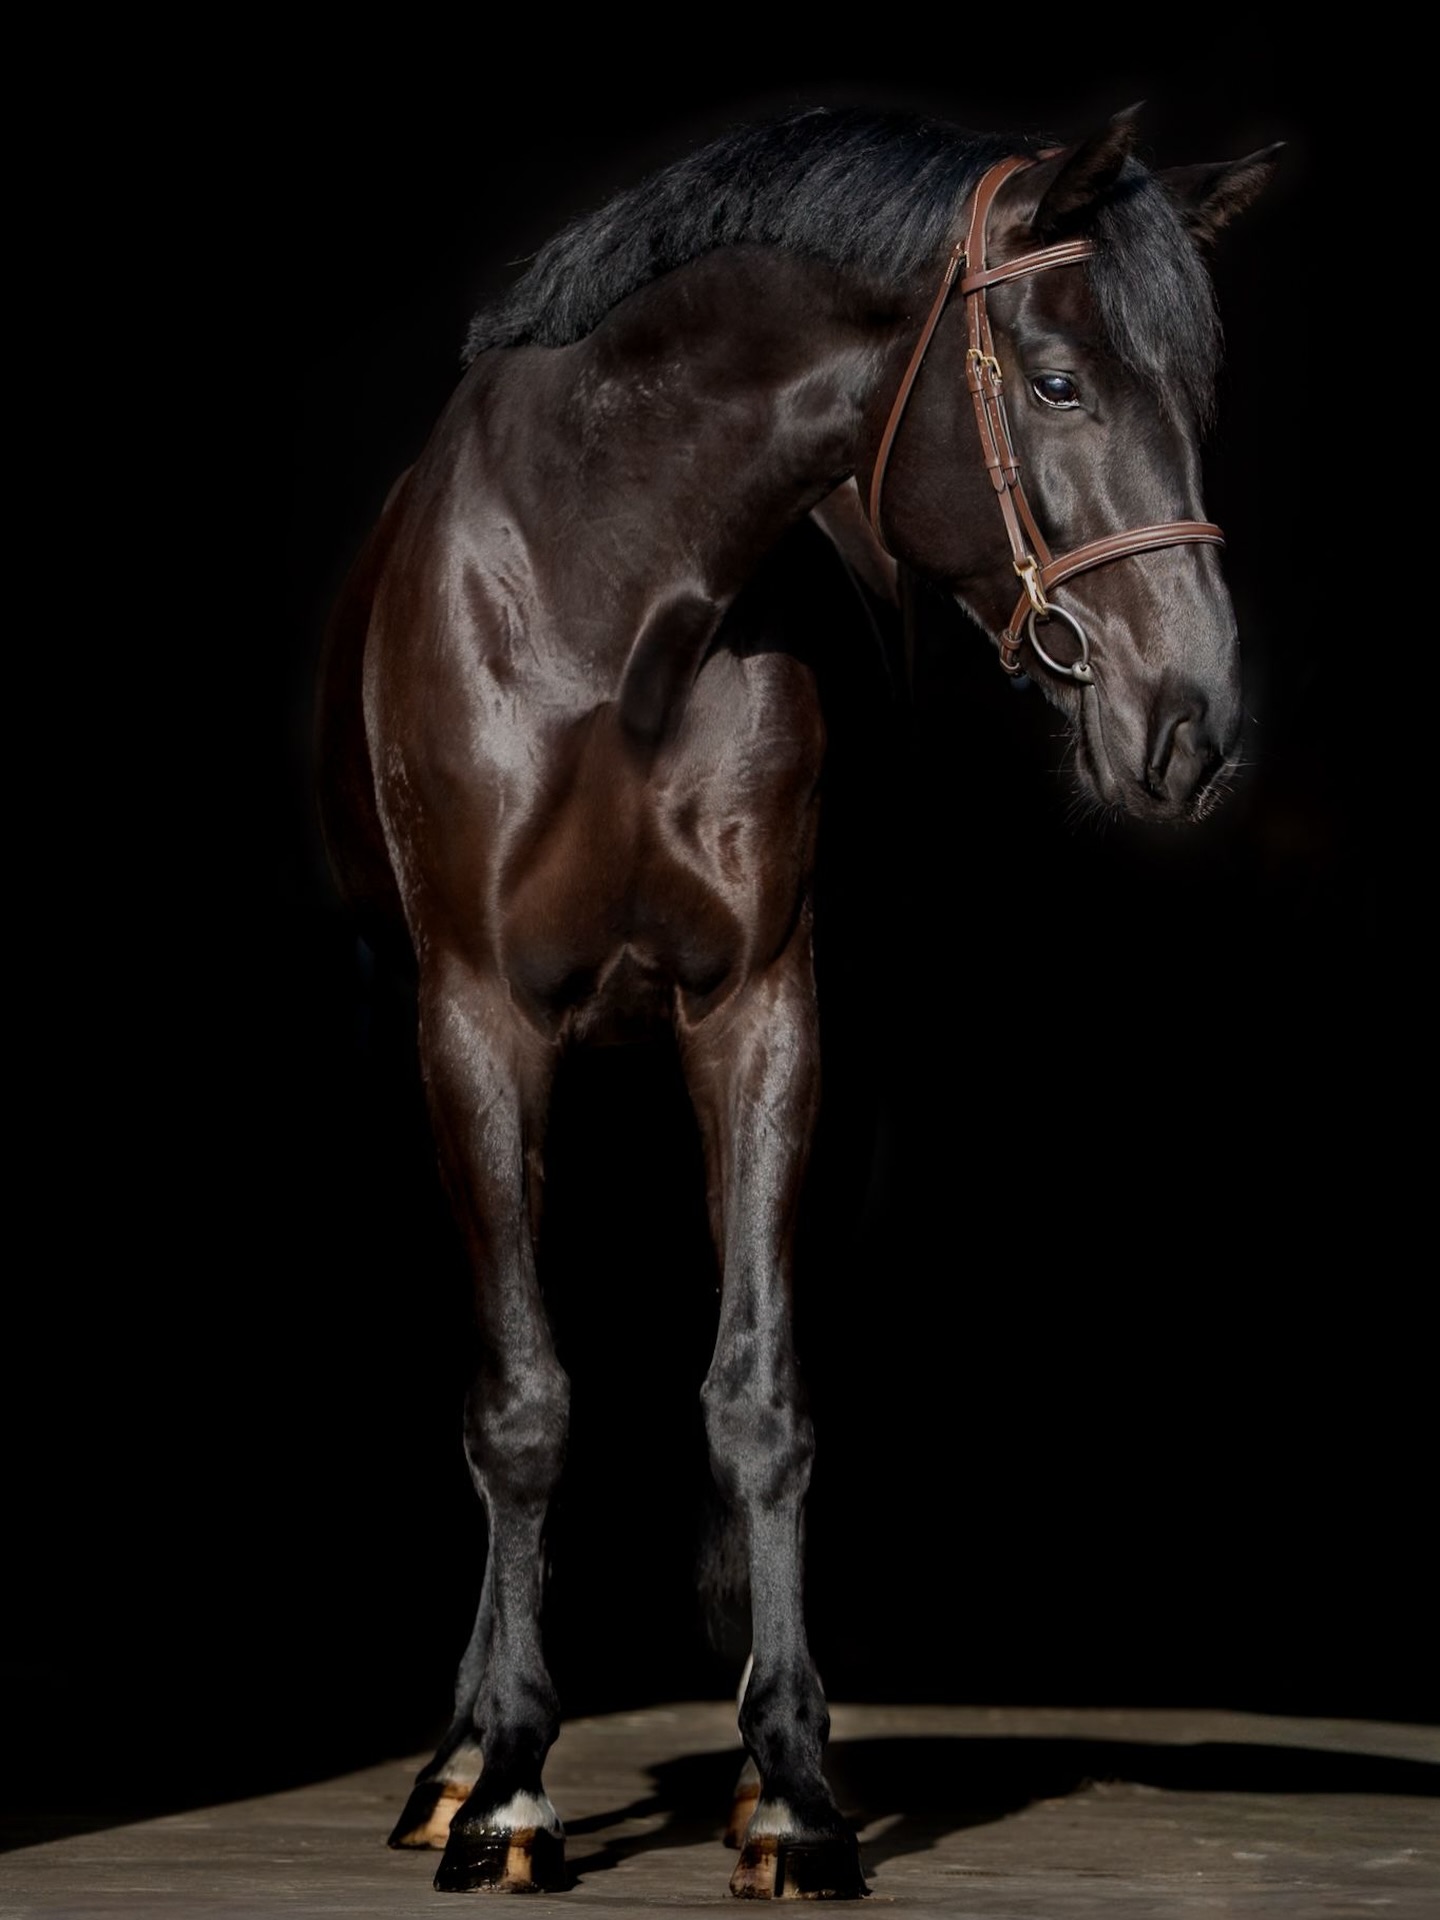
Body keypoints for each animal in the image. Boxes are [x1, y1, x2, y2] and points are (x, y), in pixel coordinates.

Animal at [314, 101, 1281, 1899]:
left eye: (1192, 396)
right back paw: (462, 1756)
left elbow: (758, 1398)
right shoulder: (476, 1022)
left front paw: (792, 1791)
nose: (1192, 724)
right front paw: (516, 1786)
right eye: (1056, 380)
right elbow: (521, 1406)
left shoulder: (762, 1013)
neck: (608, 589)